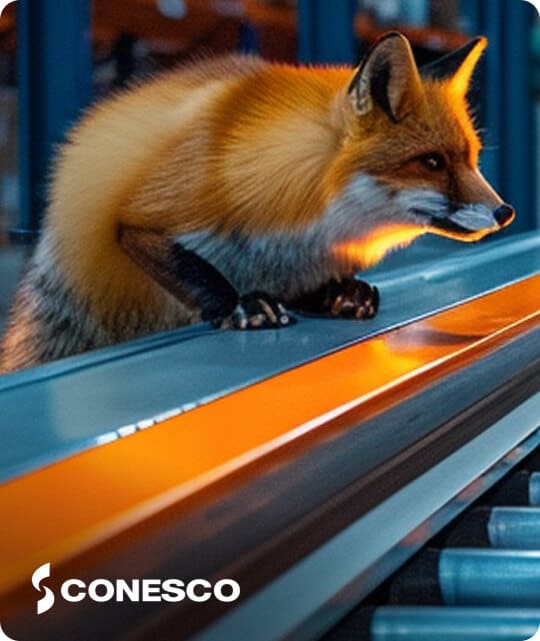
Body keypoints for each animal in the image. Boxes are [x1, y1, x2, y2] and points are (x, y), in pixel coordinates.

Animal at [0, 32, 514, 373]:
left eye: (471, 159)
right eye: (431, 162)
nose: (505, 212)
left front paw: (339, 293)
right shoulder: (148, 214)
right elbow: (191, 267)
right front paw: (236, 305)